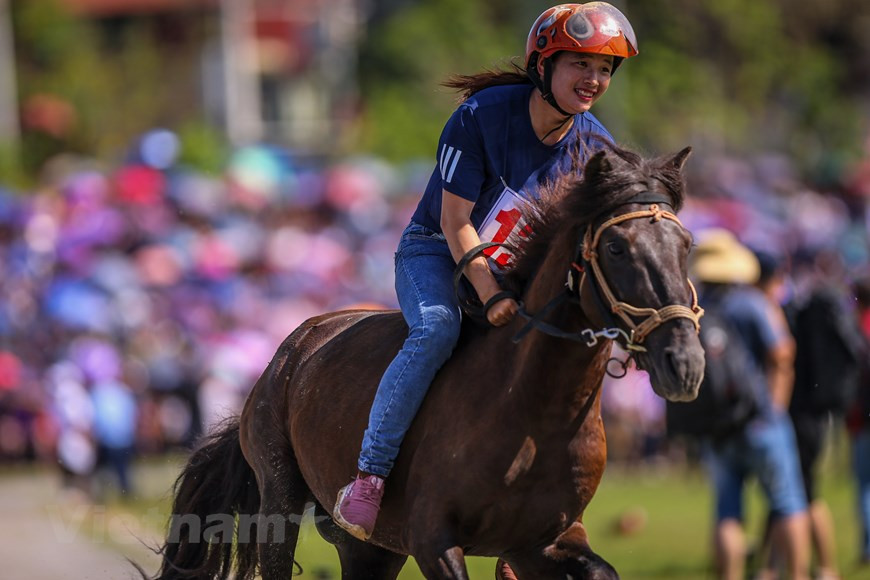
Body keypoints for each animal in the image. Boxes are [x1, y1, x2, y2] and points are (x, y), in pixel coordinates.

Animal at [152, 142, 705, 579]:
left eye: (686, 244)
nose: (684, 362)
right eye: (615, 246)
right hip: (280, 499)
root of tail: (290, 351)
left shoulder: (541, 540)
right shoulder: (433, 539)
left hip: (369, 549)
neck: (533, 411)